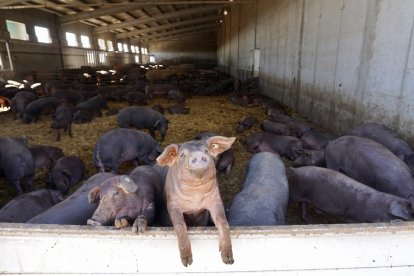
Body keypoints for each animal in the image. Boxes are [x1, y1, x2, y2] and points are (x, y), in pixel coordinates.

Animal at [157, 136, 236, 268]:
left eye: (207, 151)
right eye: (182, 155)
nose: (198, 155)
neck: (196, 195)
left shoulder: (215, 200)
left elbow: (223, 222)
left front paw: (228, 260)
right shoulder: (173, 204)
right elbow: (180, 226)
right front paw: (187, 263)